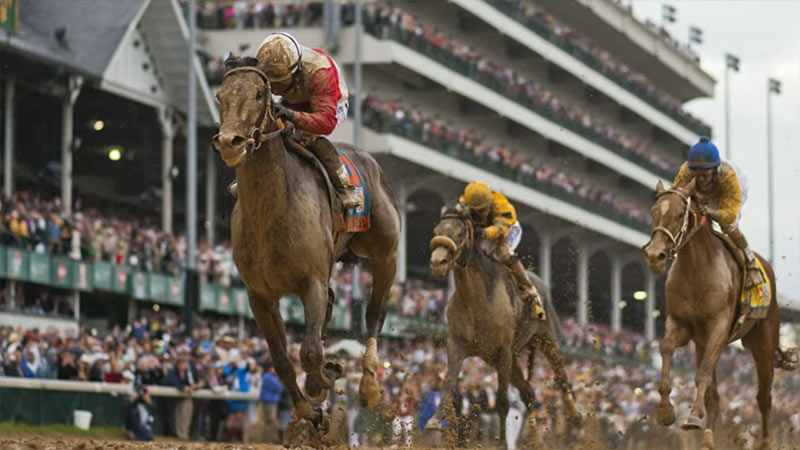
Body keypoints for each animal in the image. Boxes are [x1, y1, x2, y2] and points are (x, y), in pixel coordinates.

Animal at [424, 207, 580, 446]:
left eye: (459, 234)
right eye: (436, 231)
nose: (437, 263)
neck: (476, 300)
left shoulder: (503, 350)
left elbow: (503, 401)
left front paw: (502, 443)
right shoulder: (457, 343)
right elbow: (448, 383)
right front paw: (434, 420)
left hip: (545, 338)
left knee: (561, 379)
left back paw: (576, 417)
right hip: (504, 359)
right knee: (528, 393)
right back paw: (535, 440)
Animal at [648, 179, 796, 450]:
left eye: (679, 214)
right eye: (653, 212)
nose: (655, 256)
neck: (696, 270)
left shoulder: (718, 327)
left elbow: (703, 373)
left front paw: (693, 415)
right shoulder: (682, 325)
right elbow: (665, 347)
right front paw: (665, 410)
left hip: (763, 343)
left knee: (764, 397)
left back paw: (765, 442)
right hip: (703, 344)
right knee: (715, 396)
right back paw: (708, 437)